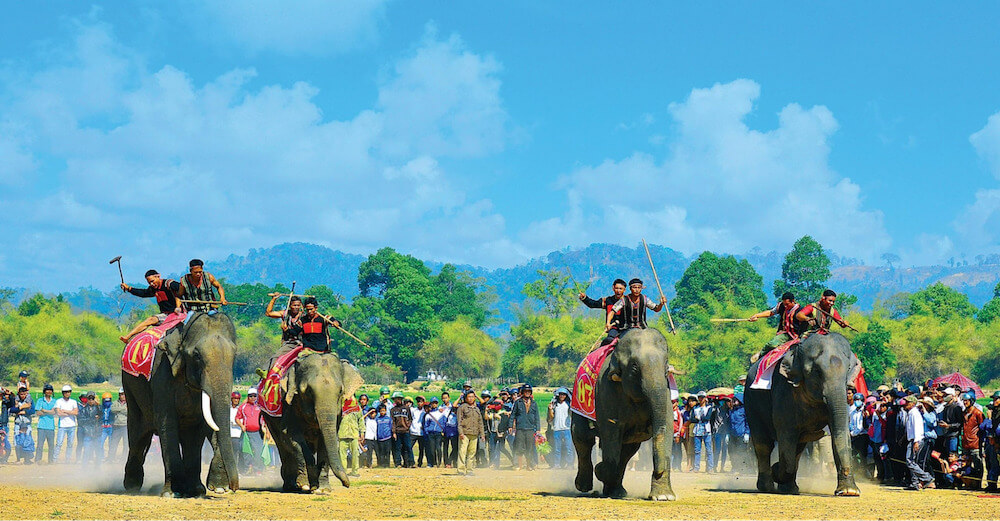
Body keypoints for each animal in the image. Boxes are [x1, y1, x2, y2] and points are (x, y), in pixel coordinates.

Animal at [123, 310, 240, 498]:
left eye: (234, 356)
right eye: (197, 356)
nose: (235, 487)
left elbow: (199, 430)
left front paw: (198, 491)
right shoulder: (161, 373)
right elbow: (167, 424)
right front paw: (173, 493)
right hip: (130, 390)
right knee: (137, 436)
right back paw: (132, 486)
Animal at [262, 350, 364, 492]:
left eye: (341, 391)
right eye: (308, 391)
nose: (347, 484)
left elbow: (326, 442)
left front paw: (323, 489)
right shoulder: (288, 404)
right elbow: (292, 437)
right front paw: (305, 484)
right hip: (269, 417)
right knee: (282, 447)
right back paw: (291, 485)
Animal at [572, 330, 680, 500]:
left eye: (666, 366)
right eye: (634, 366)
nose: (658, 471)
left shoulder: (666, 390)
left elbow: (666, 426)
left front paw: (664, 497)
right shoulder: (606, 390)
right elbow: (611, 429)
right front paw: (600, 469)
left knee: (628, 451)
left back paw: (616, 492)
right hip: (578, 398)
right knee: (582, 436)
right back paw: (584, 486)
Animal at [748, 330, 864, 496]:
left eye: (848, 369)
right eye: (816, 371)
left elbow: (840, 432)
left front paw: (849, 491)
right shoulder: (783, 391)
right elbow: (786, 434)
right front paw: (776, 469)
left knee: (798, 446)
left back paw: (789, 488)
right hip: (751, 404)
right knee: (763, 444)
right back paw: (768, 487)